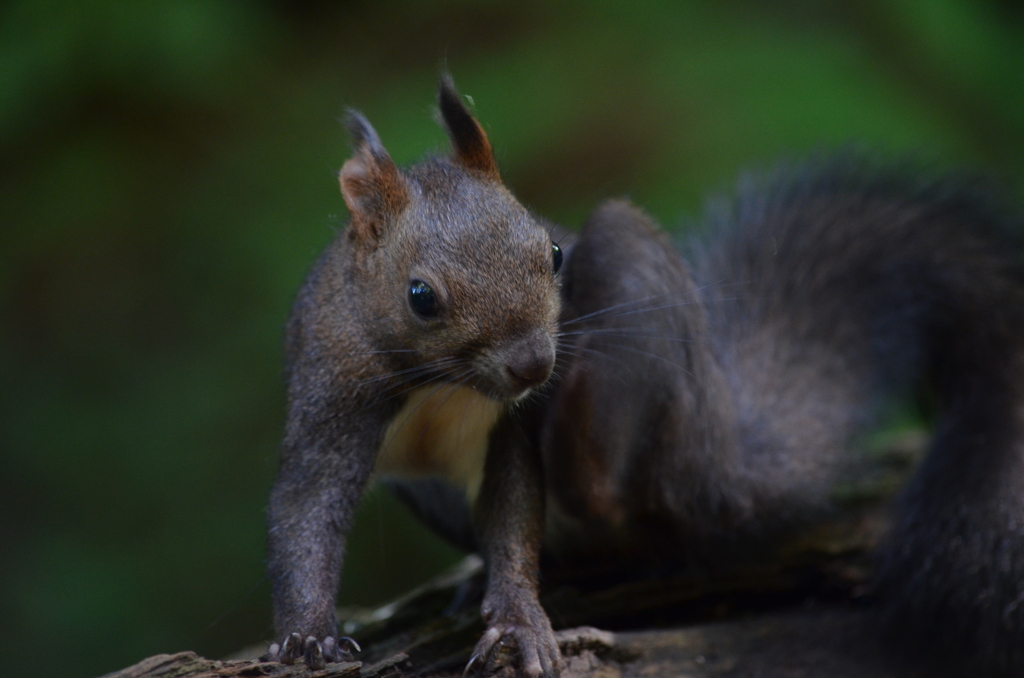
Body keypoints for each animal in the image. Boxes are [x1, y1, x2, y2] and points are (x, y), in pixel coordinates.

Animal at [260, 75, 1024, 678]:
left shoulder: (509, 427)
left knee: (605, 491)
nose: (535, 364)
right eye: (421, 297)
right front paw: (307, 638)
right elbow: (305, 509)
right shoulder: (334, 397)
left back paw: (578, 421)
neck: (442, 385)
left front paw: (518, 622)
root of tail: (719, 449)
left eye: (554, 252)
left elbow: (514, 511)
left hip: (649, 340)